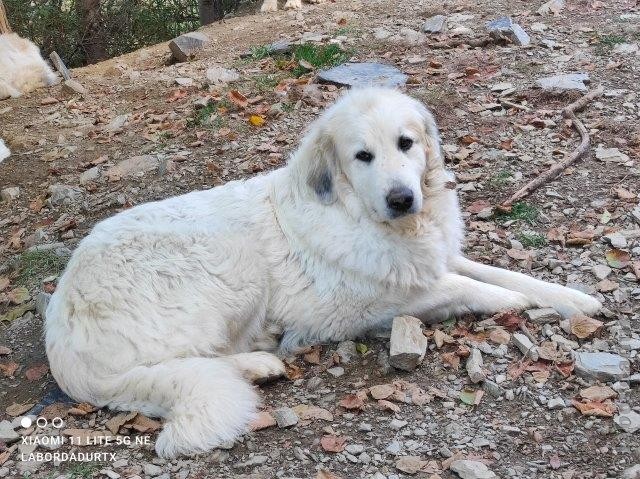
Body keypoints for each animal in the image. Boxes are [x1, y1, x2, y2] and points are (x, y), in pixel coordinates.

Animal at [45, 86, 600, 458]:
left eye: (406, 143)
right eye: (363, 156)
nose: (402, 198)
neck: (362, 215)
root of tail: (62, 335)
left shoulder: (435, 257)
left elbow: (497, 272)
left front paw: (572, 298)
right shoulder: (374, 302)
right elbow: (469, 287)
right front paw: (515, 305)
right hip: (227, 265)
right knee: (192, 362)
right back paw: (263, 359)